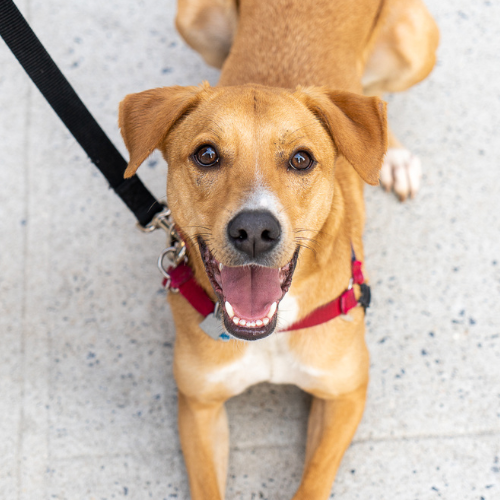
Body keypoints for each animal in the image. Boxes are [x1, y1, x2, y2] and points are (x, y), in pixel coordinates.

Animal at [117, 1, 438, 498]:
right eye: (206, 155)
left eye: (301, 160)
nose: (254, 230)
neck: (270, 331)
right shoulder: (199, 405)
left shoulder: (346, 393)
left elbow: (313, 480)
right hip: (192, 19)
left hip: (417, 41)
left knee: (377, 100)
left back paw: (393, 157)